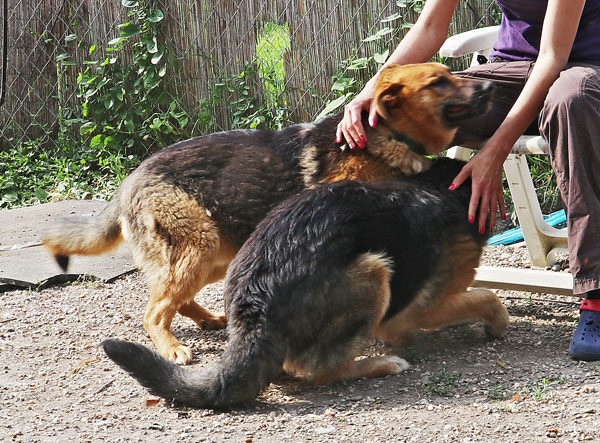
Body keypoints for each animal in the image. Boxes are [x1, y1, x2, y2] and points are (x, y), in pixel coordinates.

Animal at [42, 63, 492, 368]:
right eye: (438, 82)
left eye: (449, 74)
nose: (489, 85)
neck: (387, 135)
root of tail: (129, 181)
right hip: (199, 248)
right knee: (154, 311)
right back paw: (172, 348)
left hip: (217, 255)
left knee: (173, 298)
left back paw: (208, 319)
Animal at [102, 159, 506, 410]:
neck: (438, 189)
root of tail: (254, 304)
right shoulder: (422, 309)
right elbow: (488, 297)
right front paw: (497, 325)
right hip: (374, 271)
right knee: (323, 370)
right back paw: (380, 364)